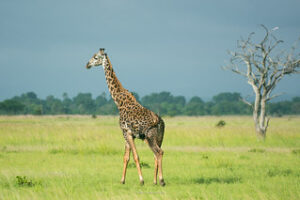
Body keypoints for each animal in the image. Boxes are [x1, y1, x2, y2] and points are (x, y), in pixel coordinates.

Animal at [85, 48, 166, 186]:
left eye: (95, 57)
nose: (87, 64)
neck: (118, 102)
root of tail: (159, 121)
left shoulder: (125, 132)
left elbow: (135, 156)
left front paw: (141, 180)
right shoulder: (129, 134)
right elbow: (126, 157)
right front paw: (122, 180)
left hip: (149, 136)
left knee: (159, 152)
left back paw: (161, 181)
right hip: (159, 137)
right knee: (156, 155)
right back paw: (155, 181)